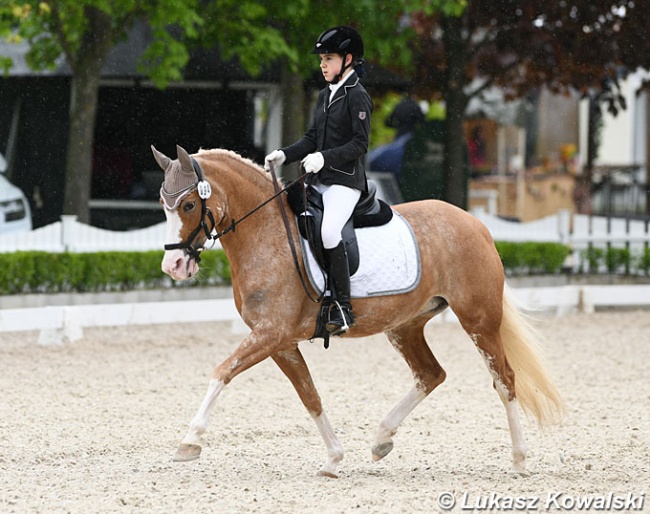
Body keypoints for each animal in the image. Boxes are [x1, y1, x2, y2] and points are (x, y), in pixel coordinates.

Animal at [149, 144, 560, 476]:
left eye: (188, 204)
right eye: (163, 206)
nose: (174, 267)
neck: (267, 233)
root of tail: (475, 223)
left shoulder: (270, 334)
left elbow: (221, 373)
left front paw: (189, 442)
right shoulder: (280, 342)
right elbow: (310, 396)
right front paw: (333, 459)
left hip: (478, 320)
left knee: (504, 379)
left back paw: (519, 460)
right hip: (405, 325)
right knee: (431, 374)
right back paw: (381, 440)